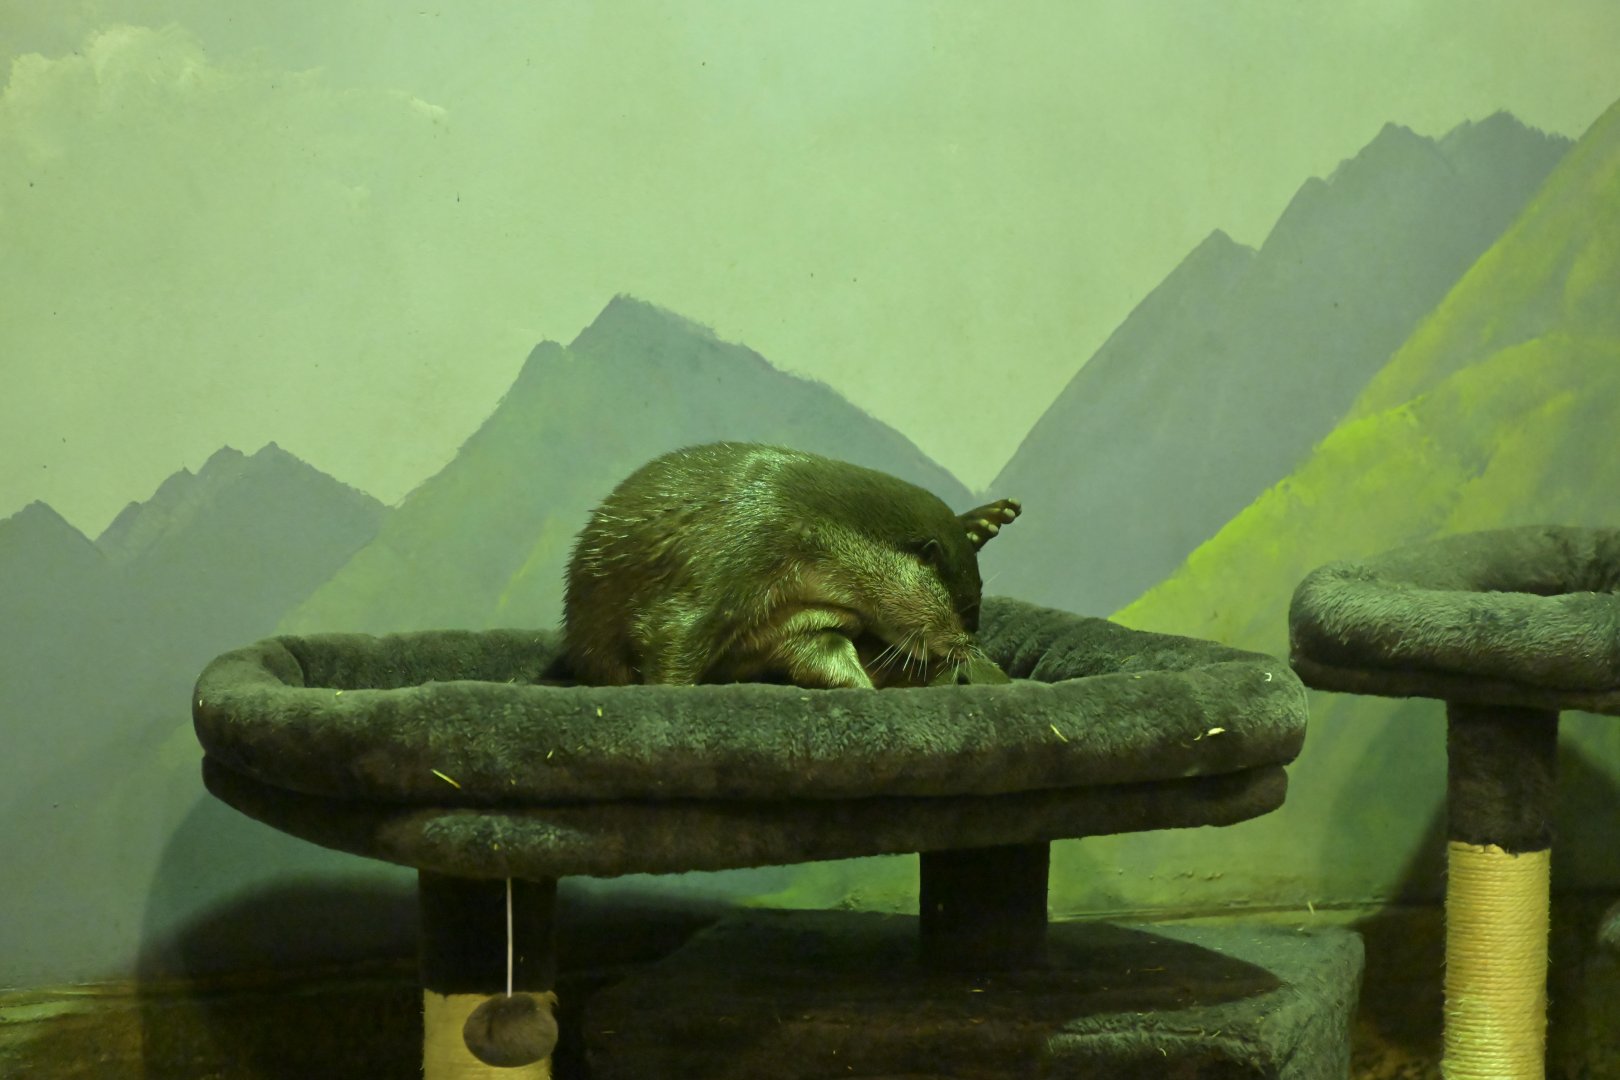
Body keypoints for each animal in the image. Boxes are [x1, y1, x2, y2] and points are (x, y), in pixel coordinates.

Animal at [563, 442, 1020, 689]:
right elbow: (673, 635)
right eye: (968, 611)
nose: (972, 645)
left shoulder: (801, 624)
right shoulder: (736, 547)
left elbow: (820, 653)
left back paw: (983, 521)